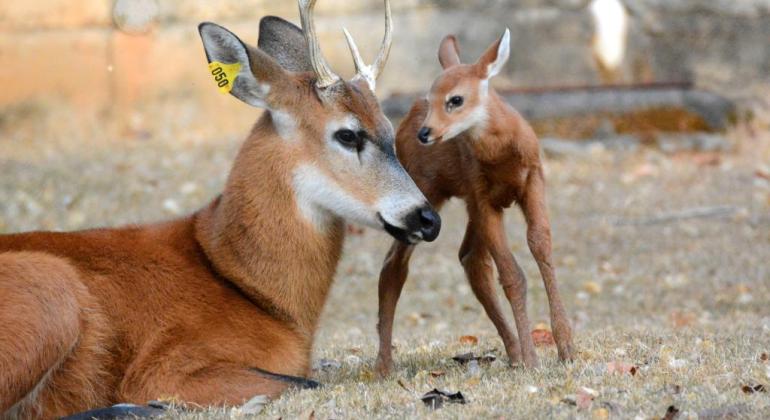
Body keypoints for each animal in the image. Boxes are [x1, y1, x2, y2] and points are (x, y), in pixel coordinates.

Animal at [0, 1, 438, 418]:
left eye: (389, 126)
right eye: (348, 135)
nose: (428, 218)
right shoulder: (164, 367)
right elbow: (306, 382)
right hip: (51, 289)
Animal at [368, 31, 572, 376]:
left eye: (456, 99)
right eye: (432, 97)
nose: (426, 132)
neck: (503, 157)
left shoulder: (532, 180)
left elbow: (541, 245)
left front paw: (565, 348)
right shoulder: (483, 196)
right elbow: (513, 275)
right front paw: (533, 360)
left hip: (468, 206)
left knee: (469, 259)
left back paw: (513, 352)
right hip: (426, 193)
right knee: (394, 264)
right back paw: (384, 365)